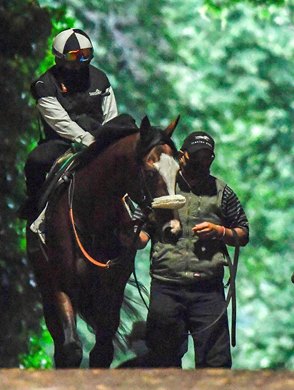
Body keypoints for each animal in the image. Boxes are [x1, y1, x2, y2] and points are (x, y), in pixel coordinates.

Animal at [25, 115, 186, 368]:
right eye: (150, 172)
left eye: (178, 172)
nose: (172, 229)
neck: (91, 216)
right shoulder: (60, 284)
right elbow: (71, 349)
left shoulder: (112, 288)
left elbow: (102, 351)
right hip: (45, 285)